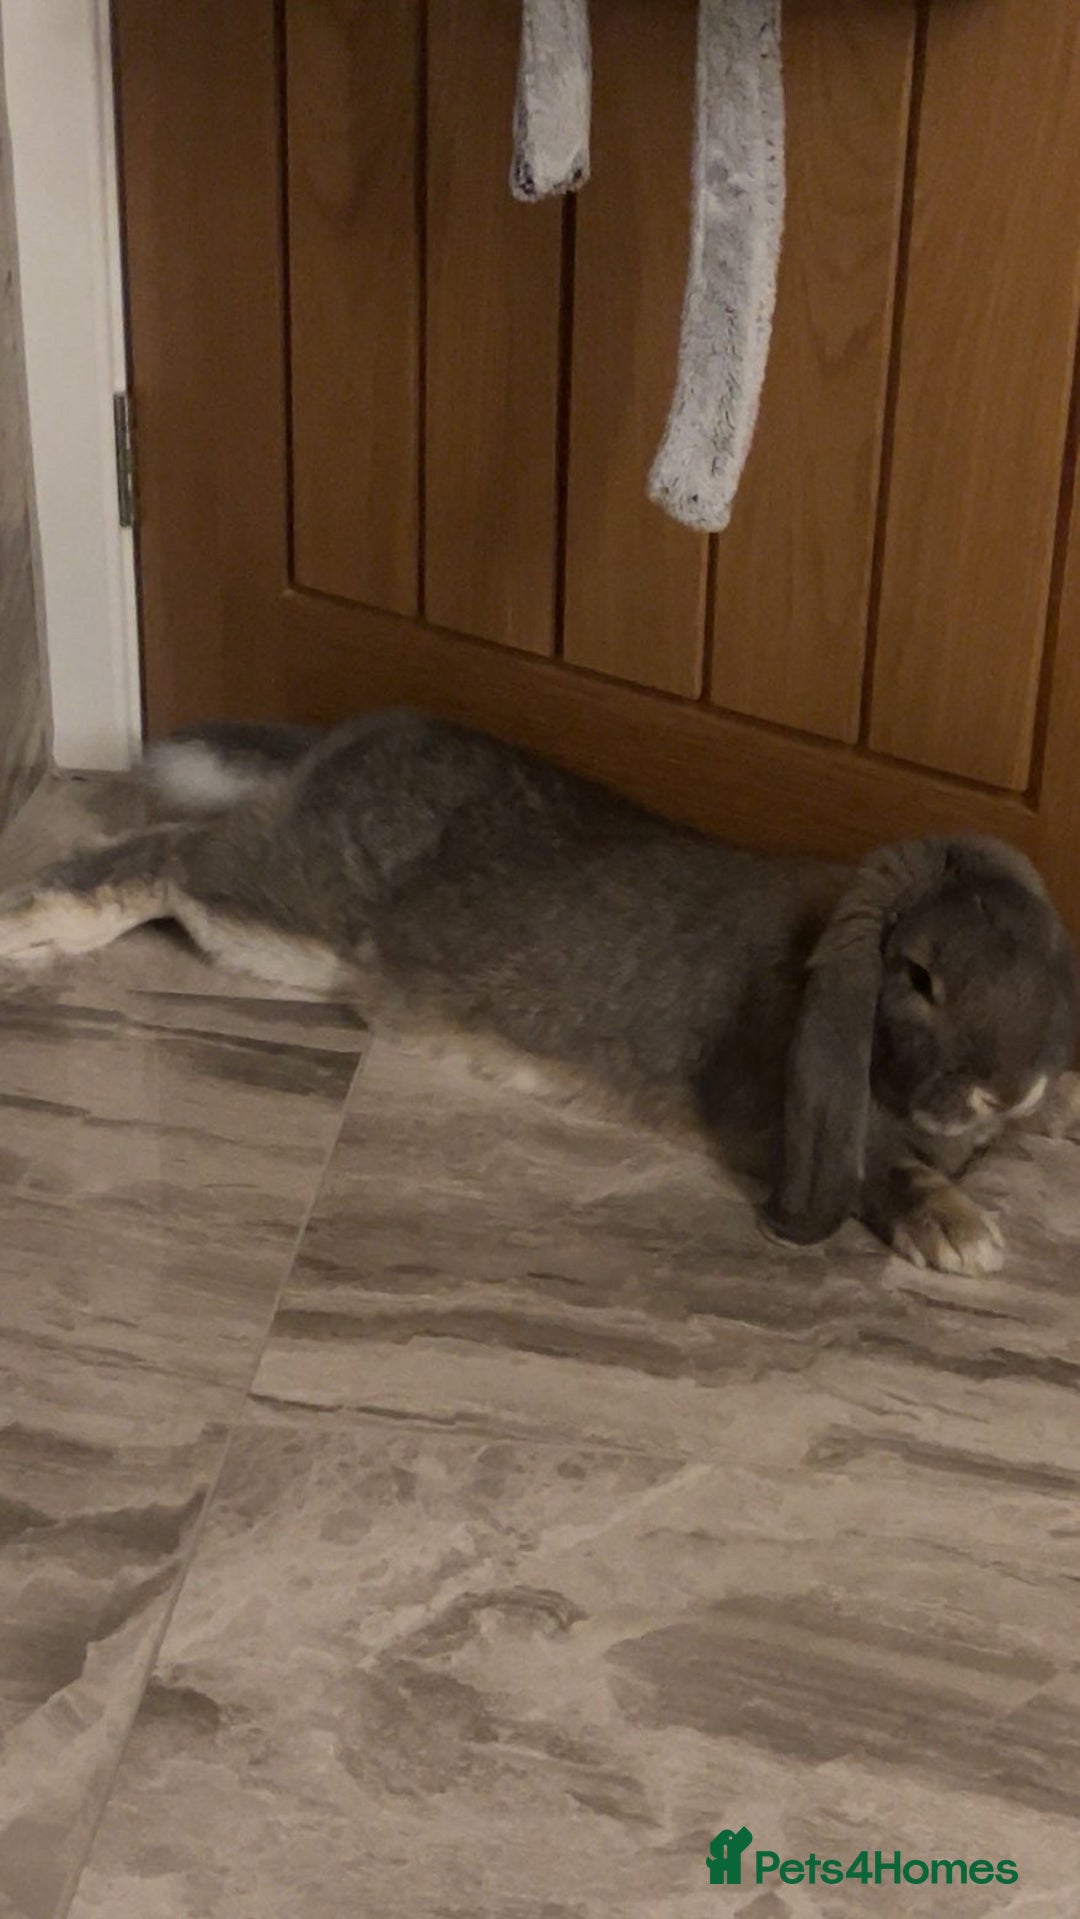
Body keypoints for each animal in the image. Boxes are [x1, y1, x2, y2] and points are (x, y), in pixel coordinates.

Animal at [0, 707, 1074, 1277]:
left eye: (1050, 973)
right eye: (920, 977)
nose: (1012, 1085)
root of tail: (348, 738)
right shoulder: (778, 1114)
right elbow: (881, 1163)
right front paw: (963, 1232)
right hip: (286, 915)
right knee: (169, 859)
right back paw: (32, 927)